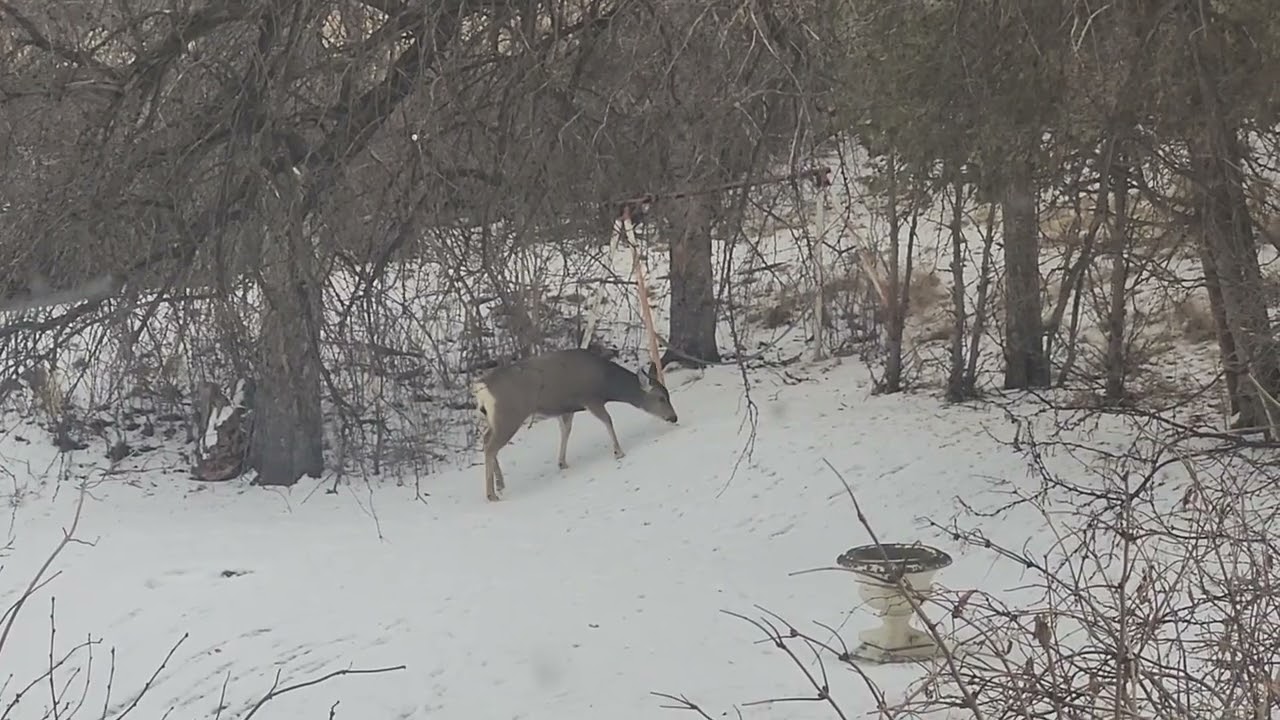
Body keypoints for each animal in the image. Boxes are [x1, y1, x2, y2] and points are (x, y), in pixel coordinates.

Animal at [470, 348, 679, 501]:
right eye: (661, 398)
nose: (674, 417)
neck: (606, 383)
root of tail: (481, 388)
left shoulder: (567, 408)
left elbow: (566, 430)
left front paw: (562, 462)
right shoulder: (590, 398)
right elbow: (608, 420)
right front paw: (618, 452)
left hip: (496, 418)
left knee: (486, 440)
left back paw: (500, 484)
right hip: (510, 414)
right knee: (491, 446)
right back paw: (491, 494)